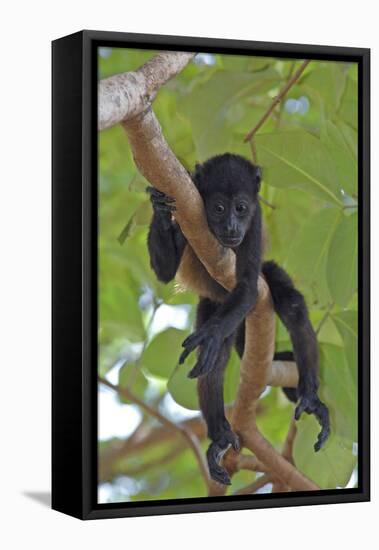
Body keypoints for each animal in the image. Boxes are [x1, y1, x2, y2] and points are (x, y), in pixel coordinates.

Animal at [147, 154, 332, 488]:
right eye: (219, 208)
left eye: (242, 208)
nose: (232, 226)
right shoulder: (186, 210)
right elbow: (164, 272)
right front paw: (158, 205)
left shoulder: (255, 223)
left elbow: (247, 286)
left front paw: (210, 335)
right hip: (213, 305)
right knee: (216, 360)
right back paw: (220, 435)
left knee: (292, 307)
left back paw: (310, 396)